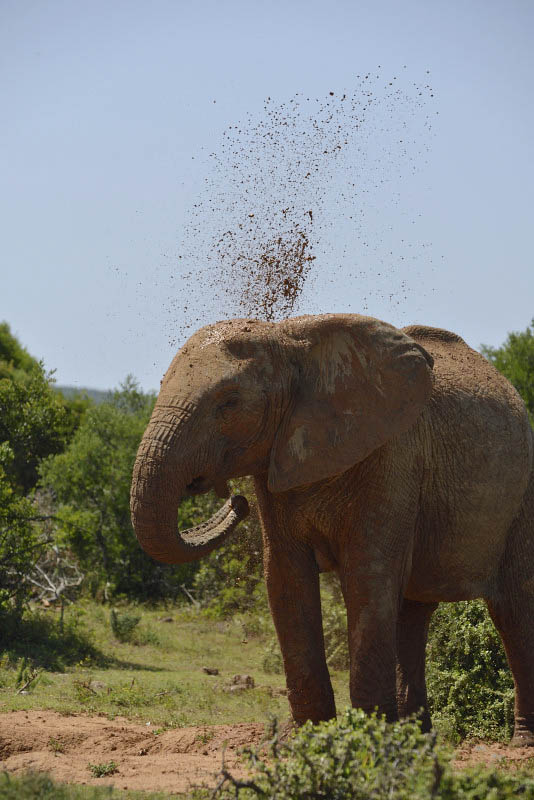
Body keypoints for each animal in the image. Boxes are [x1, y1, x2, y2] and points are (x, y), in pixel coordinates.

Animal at [131, 312, 534, 744]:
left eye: (230, 401)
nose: (236, 502)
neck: (290, 341)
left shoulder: (393, 455)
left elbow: (367, 575)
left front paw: (367, 739)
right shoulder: (277, 461)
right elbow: (285, 578)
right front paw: (307, 739)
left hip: (521, 493)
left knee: (514, 610)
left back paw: (519, 743)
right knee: (414, 613)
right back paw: (417, 740)